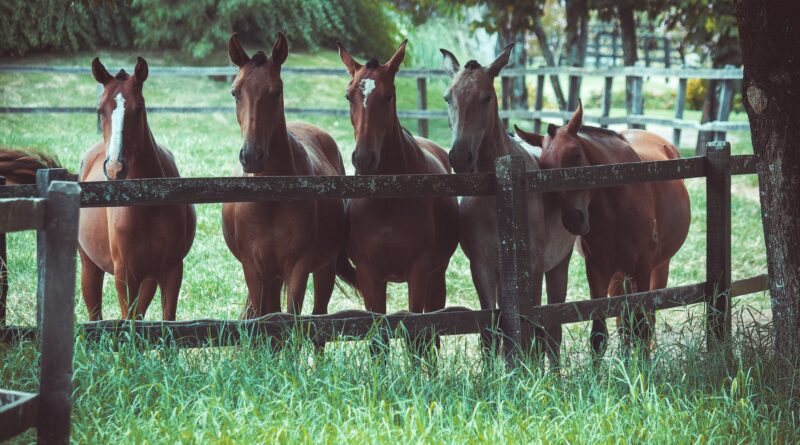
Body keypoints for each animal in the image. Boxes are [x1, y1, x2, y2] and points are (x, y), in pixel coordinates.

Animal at [338, 40, 460, 316]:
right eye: (349, 96)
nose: (364, 158)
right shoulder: (369, 274)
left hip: (436, 276)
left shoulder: (419, 270)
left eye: (389, 96)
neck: (387, 198)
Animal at [440, 44, 580, 364]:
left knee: (553, 330)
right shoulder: (481, 267)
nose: (460, 157)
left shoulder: (534, 267)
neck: (496, 196)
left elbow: (534, 329)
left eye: (486, 97)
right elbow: (490, 331)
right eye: (447, 97)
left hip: (558, 266)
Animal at [516, 103, 692, 354]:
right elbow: (600, 335)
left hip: (658, 269)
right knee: (624, 324)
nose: (573, 219)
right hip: (619, 277)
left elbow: (641, 327)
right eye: (544, 167)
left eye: (575, 154)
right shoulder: (598, 271)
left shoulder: (642, 269)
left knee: (646, 321)